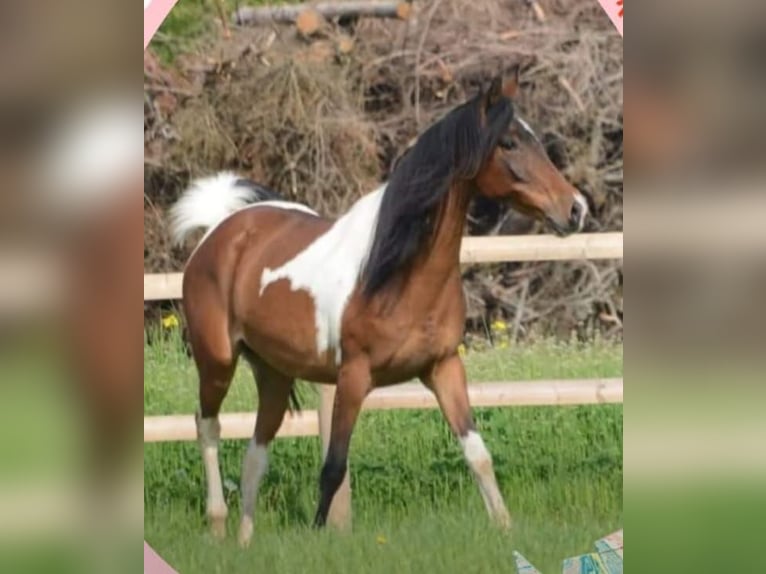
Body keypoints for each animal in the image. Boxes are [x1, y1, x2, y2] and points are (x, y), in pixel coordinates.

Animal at [170, 68, 588, 545]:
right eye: (509, 143)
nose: (575, 209)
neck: (395, 274)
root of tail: (221, 229)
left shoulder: (444, 367)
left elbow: (478, 454)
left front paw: (505, 529)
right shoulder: (353, 376)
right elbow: (333, 468)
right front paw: (319, 535)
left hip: (273, 372)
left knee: (256, 455)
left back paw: (244, 541)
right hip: (217, 361)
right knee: (207, 424)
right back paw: (217, 524)